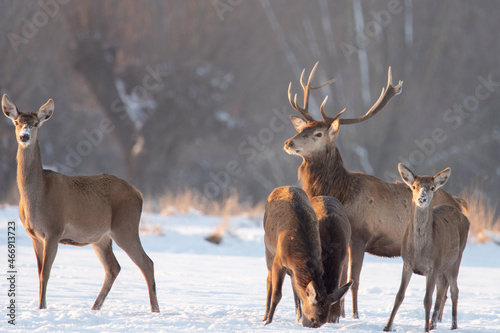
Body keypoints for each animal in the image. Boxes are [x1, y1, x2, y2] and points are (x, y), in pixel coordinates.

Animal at [1, 94, 158, 312]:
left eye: (35, 123)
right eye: (17, 122)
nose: (24, 136)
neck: (37, 196)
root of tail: (139, 193)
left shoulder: (54, 229)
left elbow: (45, 273)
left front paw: (42, 308)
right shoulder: (34, 234)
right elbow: (39, 272)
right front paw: (41, 306)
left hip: (125, 227)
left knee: (147, 263)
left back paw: (155, 311)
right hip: (101, 237)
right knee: (113, 267)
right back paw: (95, 307)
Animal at [262, 187, 352, 326]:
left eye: (322, 322)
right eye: (313, 319)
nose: (308, 326)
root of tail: (282, 187)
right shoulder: (279, 261)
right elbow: (277, 294)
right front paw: (268, 321)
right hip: (268, 247)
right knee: (269, 280)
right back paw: (265, 316)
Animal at [382, 164, 468, 332]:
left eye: (432, 187)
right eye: (414, 186)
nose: (422, 198)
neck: (419, 251)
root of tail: (465, 218)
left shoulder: (432, 266)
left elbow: (427, 299)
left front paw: (425, 329)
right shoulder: (407, 263)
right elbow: (399, 295)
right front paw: (387, 326)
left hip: (456, 258)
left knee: (454, 290)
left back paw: (453, 325)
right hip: (442, 267)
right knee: (442, 288)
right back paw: (433, 323)